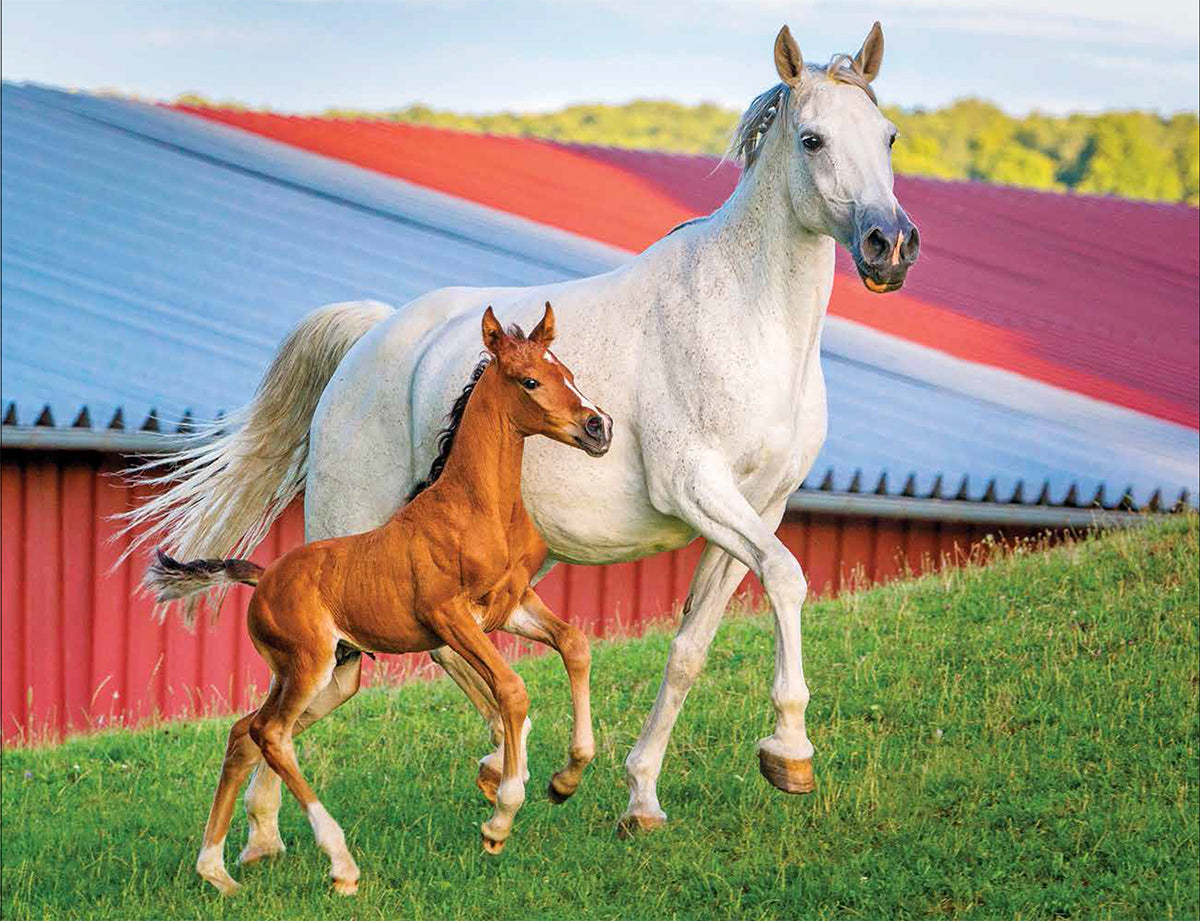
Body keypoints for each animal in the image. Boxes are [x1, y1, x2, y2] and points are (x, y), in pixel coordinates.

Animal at [144, 304, 613, 895]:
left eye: (566, 371)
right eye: (529, 381)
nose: (599, 427)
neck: (479, 507)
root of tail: (264, 575)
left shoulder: (512, 604)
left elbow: (575, 644)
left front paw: (565, 780)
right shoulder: (451, 617)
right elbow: (512, 690)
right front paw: (500, 820)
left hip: (335, 677)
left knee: (244, 733)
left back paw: (217, 871)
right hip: (309, 667)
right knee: (270, 734)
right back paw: (340, 864)